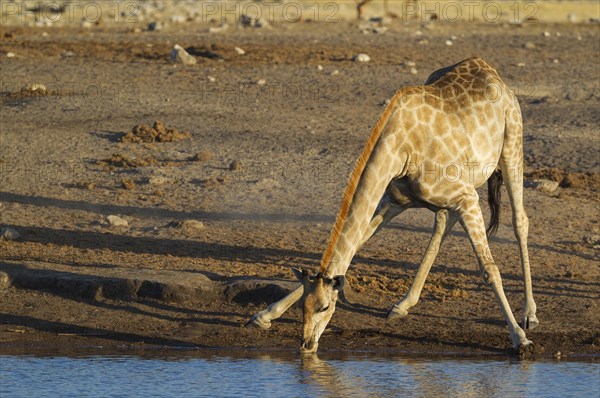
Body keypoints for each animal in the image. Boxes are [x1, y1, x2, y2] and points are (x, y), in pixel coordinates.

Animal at [246, 56, 536, 354]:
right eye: (304, 307)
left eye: (325, 307)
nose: (306, 344)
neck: (403, 148)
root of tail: (489, 68)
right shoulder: (395, 200)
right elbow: (355, 245)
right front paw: (264, 315)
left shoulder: (467, 198)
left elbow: (490, 270)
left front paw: (519, 338)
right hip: (454, 193)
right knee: (442, 224)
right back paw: (403, 304)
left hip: (511, 148)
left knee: (520, 222)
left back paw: (529, 315)